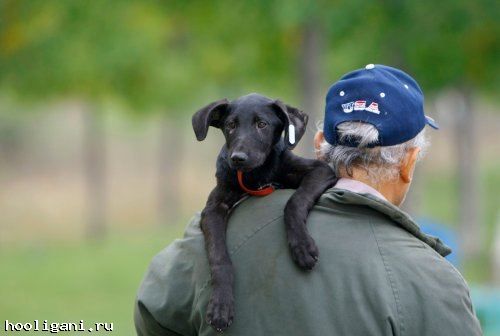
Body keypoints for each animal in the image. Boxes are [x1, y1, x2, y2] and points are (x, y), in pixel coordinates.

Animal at [193, 93, 338, 332]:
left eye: (262, 124)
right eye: (230, 125)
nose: (237, 158)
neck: (256, 176)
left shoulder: (320, 171)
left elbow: (295, 201)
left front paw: (302, 246)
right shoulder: (213, 208)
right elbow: (219, 257)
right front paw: (221, 304)